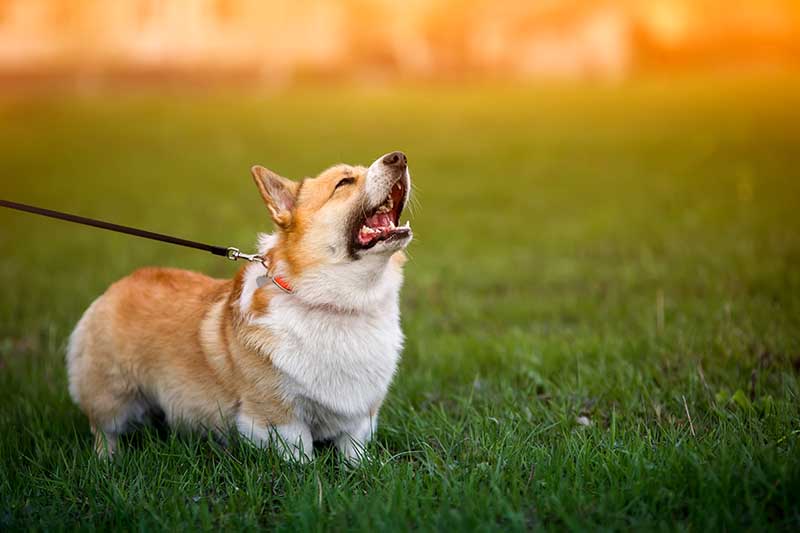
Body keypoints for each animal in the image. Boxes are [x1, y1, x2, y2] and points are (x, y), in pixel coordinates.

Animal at [67, 152, 412, 464]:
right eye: (344, 182)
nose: (399, 156)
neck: (339, 304)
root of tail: (119, 284)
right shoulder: (277, 416)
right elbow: (300, 455)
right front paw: (307, 478)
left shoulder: (360, 415)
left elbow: (353, 450)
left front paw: (360, 470)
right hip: (111, 395)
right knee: (104, 431)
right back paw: (109, 462)